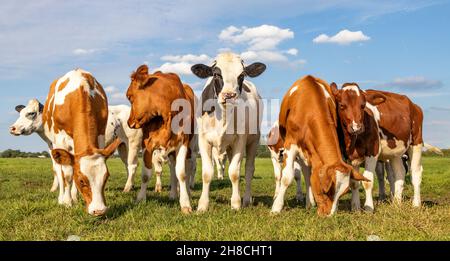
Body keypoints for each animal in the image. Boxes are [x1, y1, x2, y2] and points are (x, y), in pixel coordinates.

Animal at [40, 67, 120, 215]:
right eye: (82, 181)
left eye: (106, 177)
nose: (99, 210)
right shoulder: (61, 139)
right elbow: (67, 175)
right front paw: (67, 202)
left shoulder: (100, 136)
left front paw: (74, 198)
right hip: (53, 144)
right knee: (59, 169)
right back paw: (62, 198)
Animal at [126, 64, 197, 212]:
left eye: (129, 97)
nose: (129, 123)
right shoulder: (147, 144)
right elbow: (146, 174)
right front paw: (140, 198)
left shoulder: (183, 142)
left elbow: (182, 174)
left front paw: (185, 204)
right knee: (172, 168)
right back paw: (173, 194)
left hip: (191, 146)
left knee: (187, 167)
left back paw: (186, 192)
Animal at [191, 51, 268, 210]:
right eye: (216, 74)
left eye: (242, 75)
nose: (229, 95)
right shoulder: (203, 140)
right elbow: (207, 173)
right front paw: (202, 205)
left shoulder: (240, 140)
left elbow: (234, 172)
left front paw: (236, 203)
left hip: (254, 139)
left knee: (249, 169)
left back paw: (246, 199)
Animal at [268, 74, 368, 215]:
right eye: (326, 191)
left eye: (342, 194)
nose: (329, 215)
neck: (309, 111)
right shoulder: (290, 145)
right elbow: (287, 177)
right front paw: (276, 208)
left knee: (307, 174)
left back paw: (309, 203)